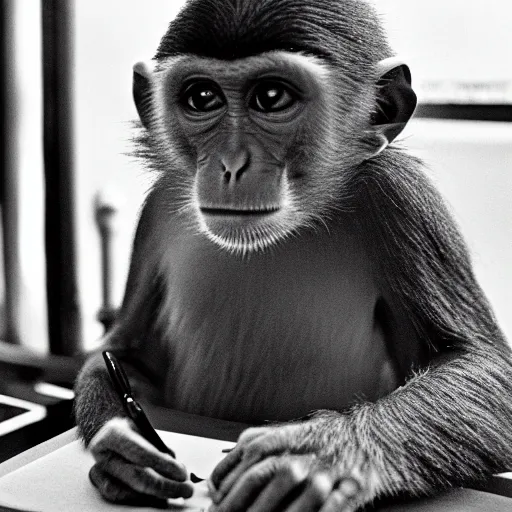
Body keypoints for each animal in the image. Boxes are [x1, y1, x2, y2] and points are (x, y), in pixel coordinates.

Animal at [74, 0, 512, 510]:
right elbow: (124, 352)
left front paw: (319, 454)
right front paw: (122, 448)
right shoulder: (158, 207)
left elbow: (481, 362)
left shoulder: (402, 197)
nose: (231, 164)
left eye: (271, 97)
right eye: (202, 97)